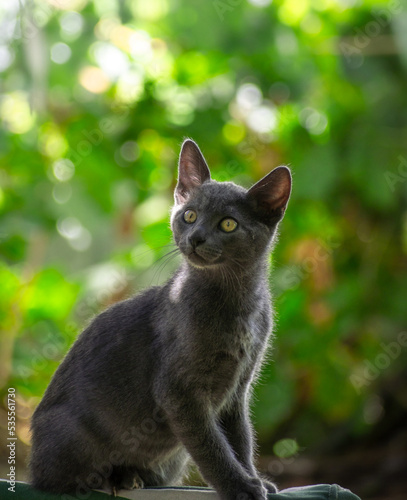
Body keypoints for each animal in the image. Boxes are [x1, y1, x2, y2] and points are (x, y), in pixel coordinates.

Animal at [28, 140, 292, 500]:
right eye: (189, 216)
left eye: (228, 224)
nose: (196, 238)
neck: (238, 304)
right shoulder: (178, 390)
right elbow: (212, 447)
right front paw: (239, 486)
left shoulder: (237, 390)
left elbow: (240, 440)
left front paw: (254, 479)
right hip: (71, 439)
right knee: (56, 480)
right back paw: (111, 480)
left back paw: (131, 477)